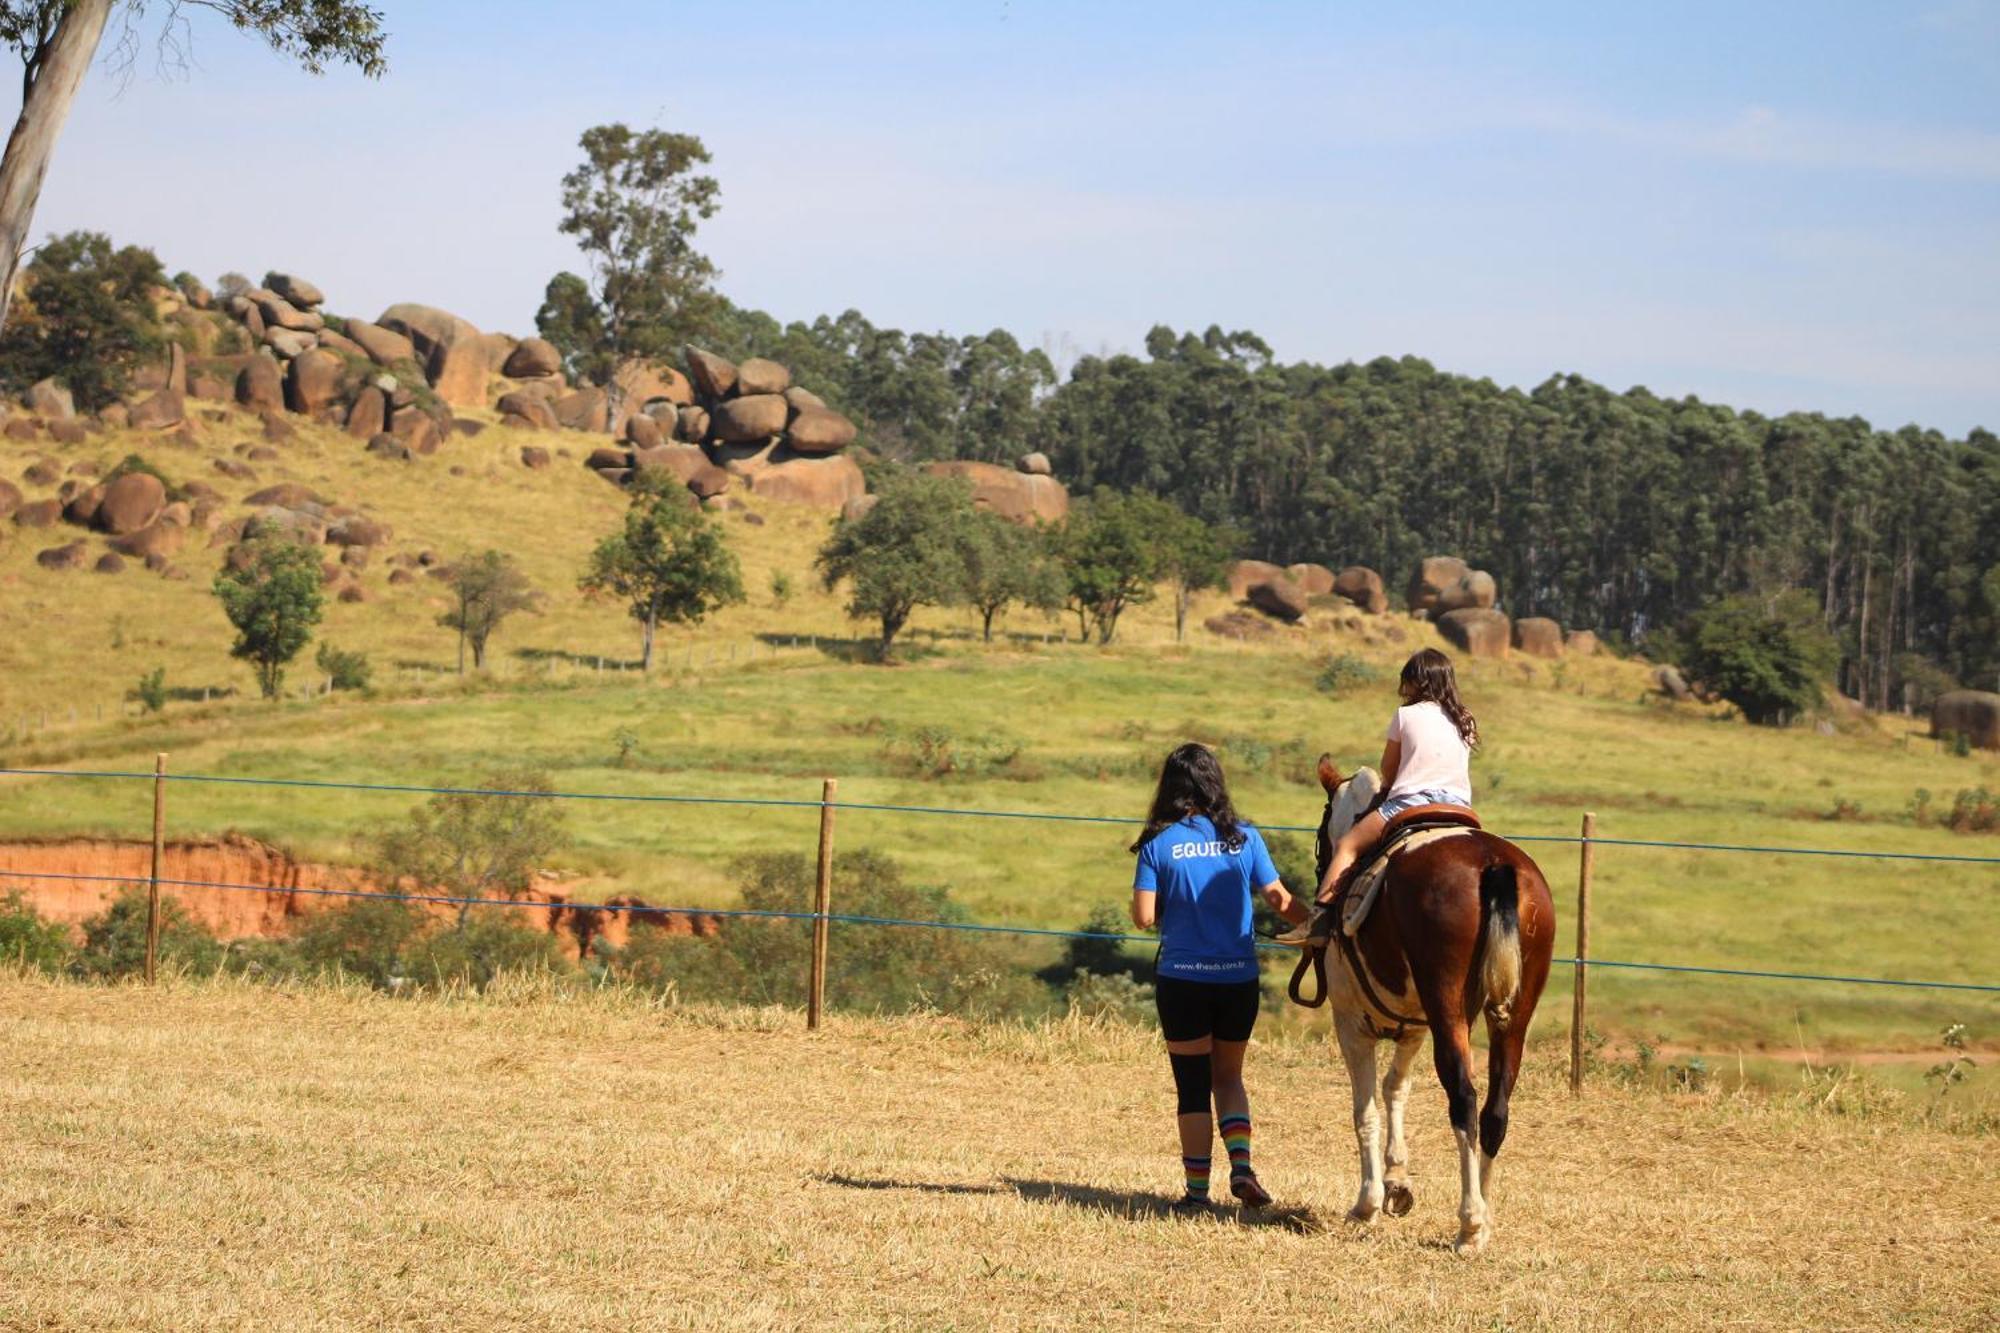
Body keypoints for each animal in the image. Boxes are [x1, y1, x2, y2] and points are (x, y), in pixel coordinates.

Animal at [1304, 752, 1552, 1248]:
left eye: (1322, 835)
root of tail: (1495, 866)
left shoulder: (1351, 1024)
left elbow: (1366, 1110)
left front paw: (1367, 1203)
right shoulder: (1414, 1028)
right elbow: (1395, 1089)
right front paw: (1397, 1181)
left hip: (1446, 1010)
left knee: (1464, 1099)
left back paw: (1469, 1223)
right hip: (1512, 1014)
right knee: (1496, 1108)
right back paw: (1484, 1218)